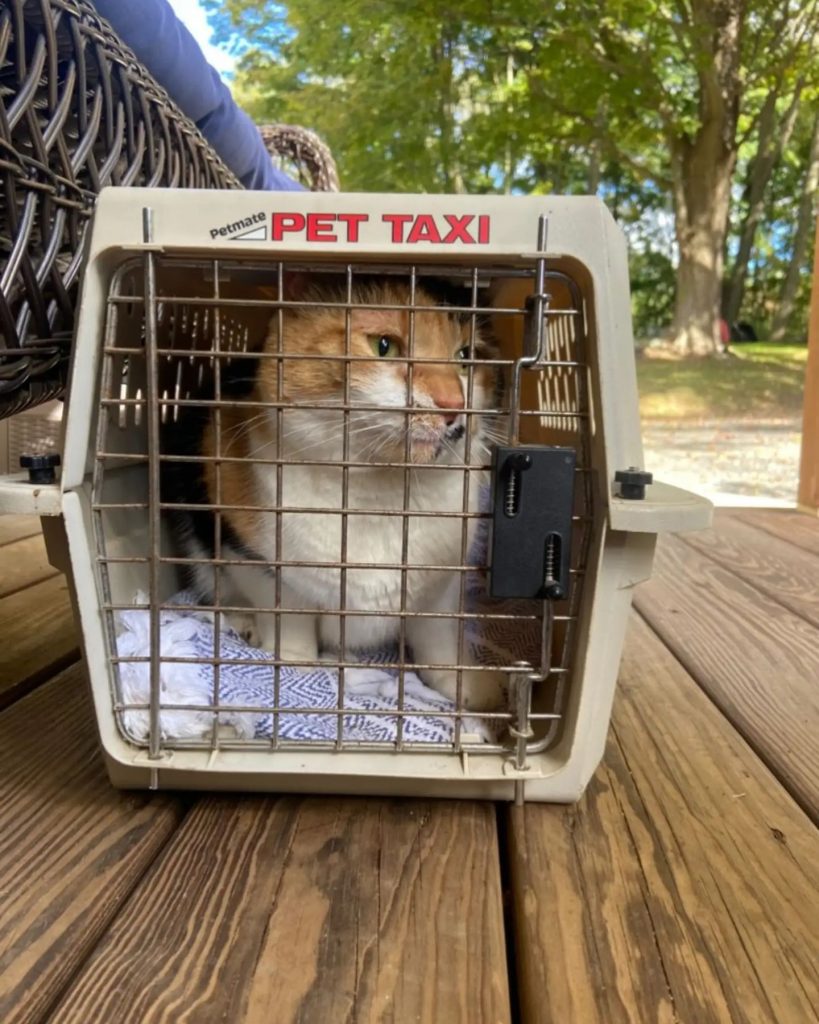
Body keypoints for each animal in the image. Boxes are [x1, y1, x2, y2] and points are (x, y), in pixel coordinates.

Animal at [165, 280, 507, 712]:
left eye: (466, 356)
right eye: (384, 346)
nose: (454, 405)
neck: (383, 492)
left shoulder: (442, 587)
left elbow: (440, 641)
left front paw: (470, 688)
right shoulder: (253, 559)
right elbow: (289, 623)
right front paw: (295, 668)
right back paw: (244, 625)